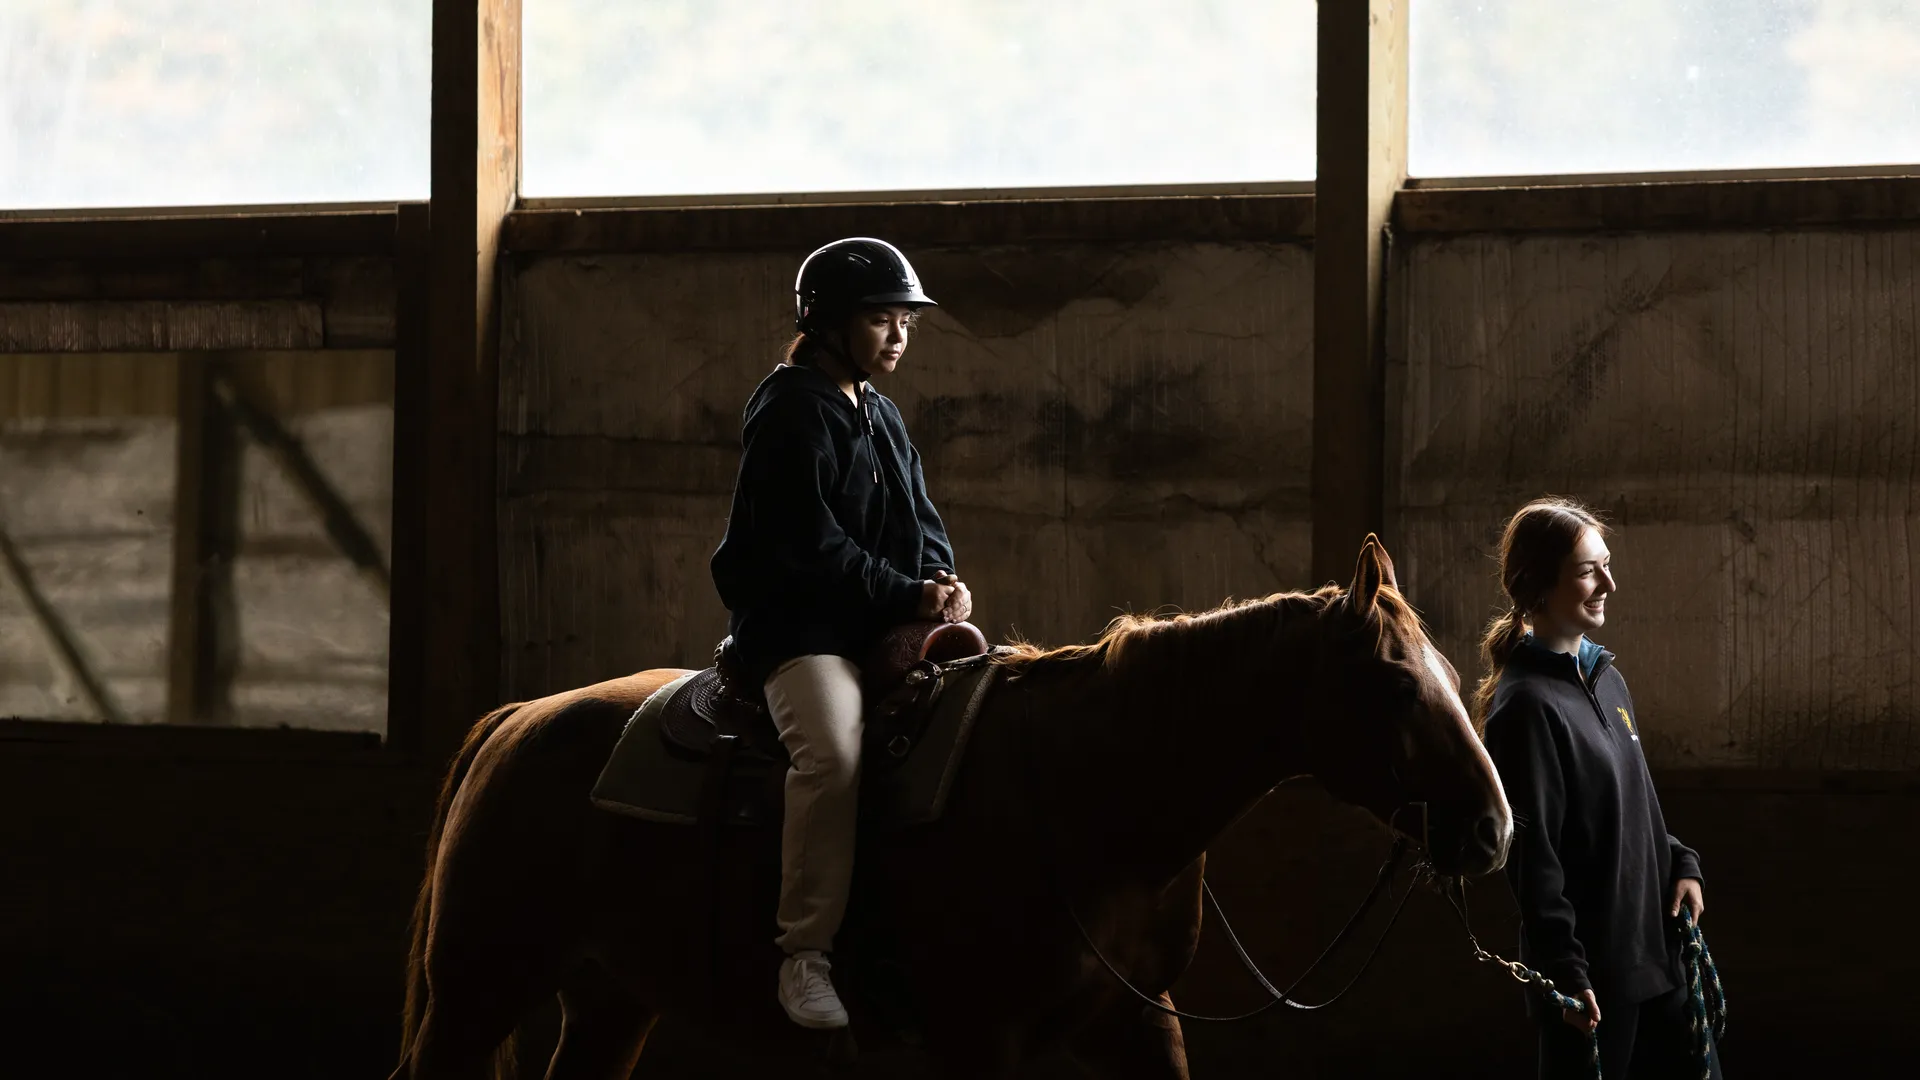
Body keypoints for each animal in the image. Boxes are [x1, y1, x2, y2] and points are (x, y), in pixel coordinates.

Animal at [388, 537, 1511, 1080]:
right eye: (1397, 685)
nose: (1492, 827)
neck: (1089, 791)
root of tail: (518, 721)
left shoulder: (1136, 1025)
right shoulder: (979, 1037)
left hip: (611, 998)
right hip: (476, 994)